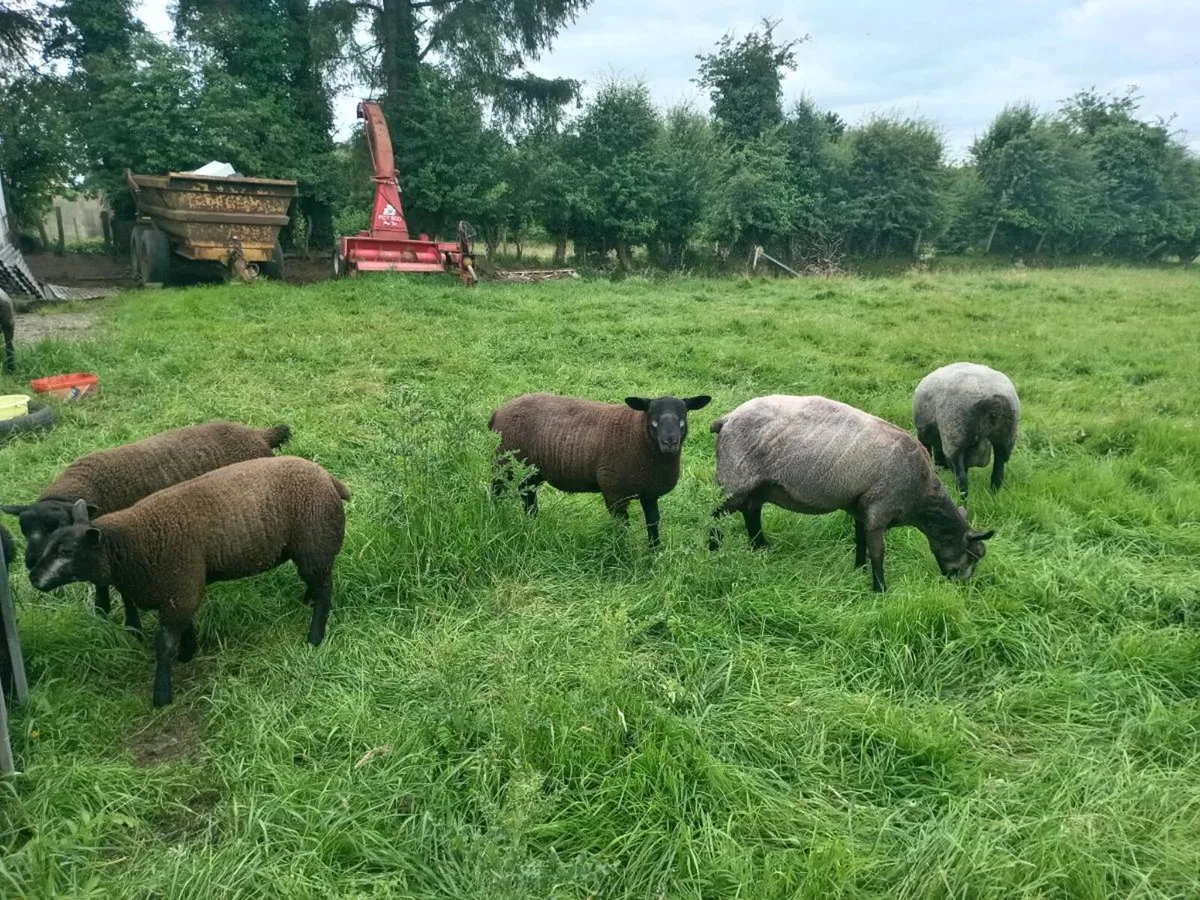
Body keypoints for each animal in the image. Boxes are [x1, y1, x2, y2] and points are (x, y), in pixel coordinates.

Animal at [2, 421, 291, 631]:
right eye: (24, 529)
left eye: (59, 526)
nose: (31, 563)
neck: (87, 486)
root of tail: (259, 434)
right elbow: (100, 582)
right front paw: (101, 613)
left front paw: (130, 626)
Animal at [28, 456, 350, 707]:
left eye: (66, 551)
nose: (32, 576)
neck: (134, 544)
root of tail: (329, 479)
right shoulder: (183, 588)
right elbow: (185, 628)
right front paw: (188, 652)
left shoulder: (180, 590)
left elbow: (164, 644)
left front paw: (162, 694)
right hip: (306, 549)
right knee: (317, 583)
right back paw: (307, 600)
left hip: (315, 543)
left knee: (325, 591)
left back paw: (315, 635)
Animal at [488, 392, 712, 547]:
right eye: (652, 417)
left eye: (683, 415)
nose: (670, 442)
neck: (638, 435)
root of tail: (499, 411)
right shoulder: (614, 490)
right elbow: (622, 525)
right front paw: (621, 550)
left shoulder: (649, 492)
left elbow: (653, 522)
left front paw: (655, 551)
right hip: (504, 463)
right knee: (497, 492)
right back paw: (496, 517)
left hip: (531, 471)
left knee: (528, 496)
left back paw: (533, 524)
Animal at [708, 395, 995, 592]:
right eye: (973, 555)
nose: (963, 586)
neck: (921, 496)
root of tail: (727, 419)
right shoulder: (880, 511)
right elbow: (878, 553)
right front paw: (880, 590)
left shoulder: (861, 508)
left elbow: (859, 541)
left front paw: (859, 569)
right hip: (737, 480)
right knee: (716, 515)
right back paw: (714, 550)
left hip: (760, 486)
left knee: (751, 513)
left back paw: (761, 548)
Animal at [913, 362, 1019, 501]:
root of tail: (994, 403)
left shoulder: (923, 435)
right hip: (1006, 438)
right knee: (999, 470)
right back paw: (994, 495)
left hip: (955, 435)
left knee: (962, 479)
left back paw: (962, 500)